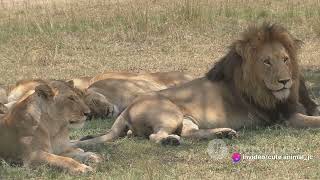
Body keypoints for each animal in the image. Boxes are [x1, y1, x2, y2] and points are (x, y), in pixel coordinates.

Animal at [73, 22, 320, 147]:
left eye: (285, 59)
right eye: (266, 62)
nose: (285, 81)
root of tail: (126, 110)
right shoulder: (285, 117)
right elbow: (315, 120)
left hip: (186, 119)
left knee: (190, 133)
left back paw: (223, 134)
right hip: (170, 114)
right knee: (157, 136)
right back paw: (170, 140)